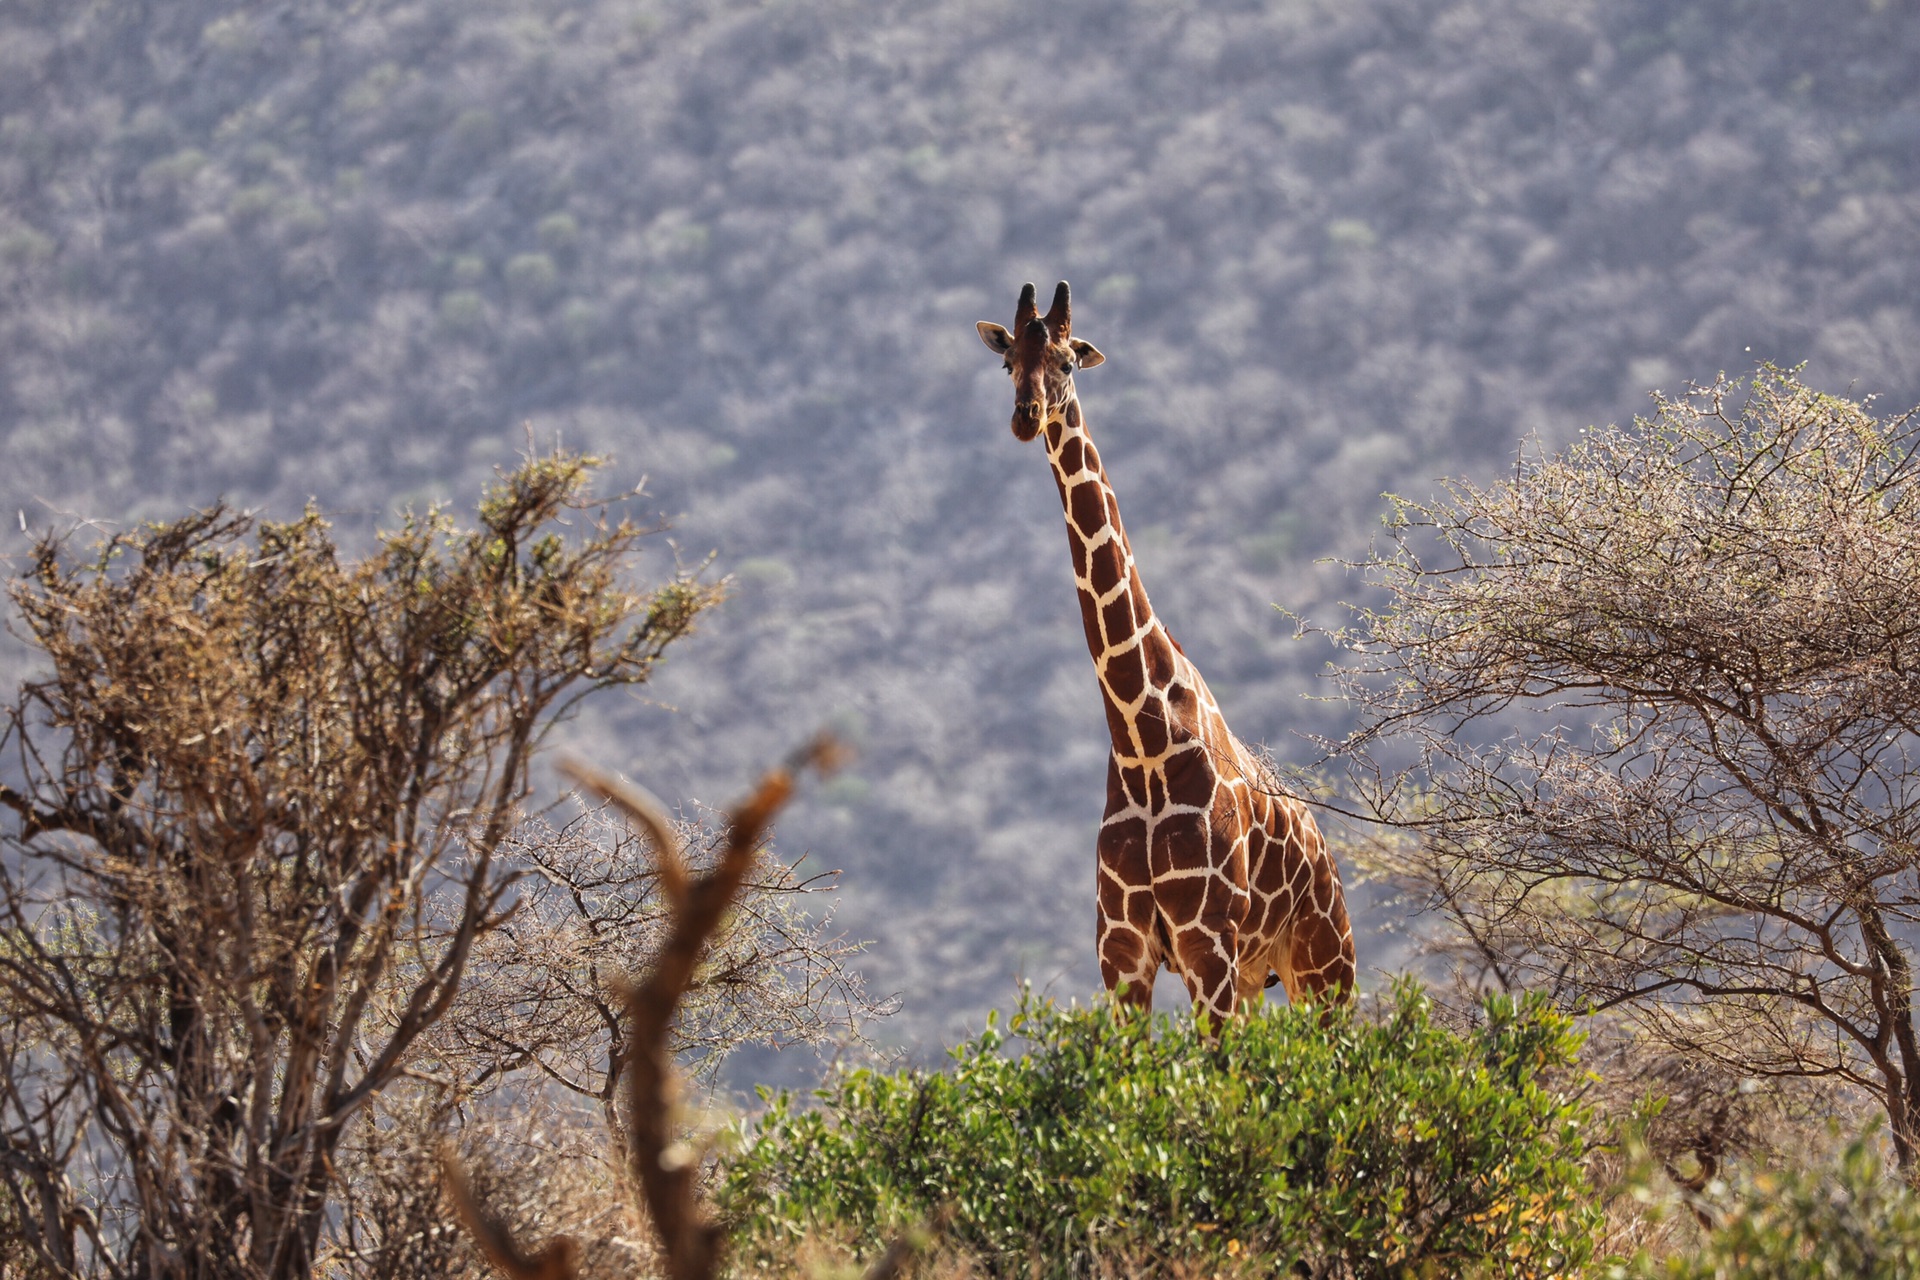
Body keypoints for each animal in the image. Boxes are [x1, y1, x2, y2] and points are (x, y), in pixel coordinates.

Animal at [983, 280, 1359, 1020]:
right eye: (1009, 362)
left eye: (1067, 361)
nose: (1025, 417)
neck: (1143, 744)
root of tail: (1327, 856)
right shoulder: (1124, 956)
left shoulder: (1204, 948)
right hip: (1258, 977)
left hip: (1325, 970)